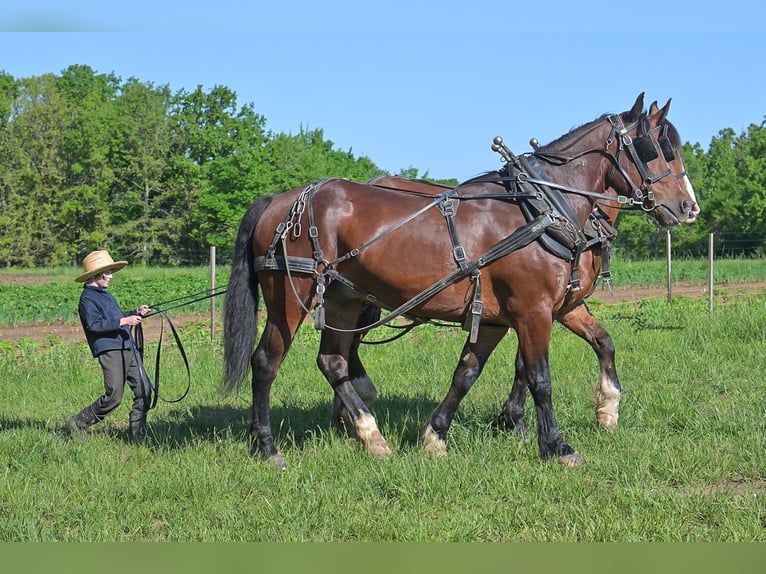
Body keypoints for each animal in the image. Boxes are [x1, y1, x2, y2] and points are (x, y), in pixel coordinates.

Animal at [223, 94, 699, 468]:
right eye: (654, 149)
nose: (688, 207)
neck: (543, 207)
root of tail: (281, 200)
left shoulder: (531, 310)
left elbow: (476, 370)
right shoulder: (533, 310)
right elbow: (539, 376)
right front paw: (555, 445)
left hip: (343, 298)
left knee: (334, 361)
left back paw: (369, 434)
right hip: (291, 296)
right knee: (266, 362)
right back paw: (268, 447)